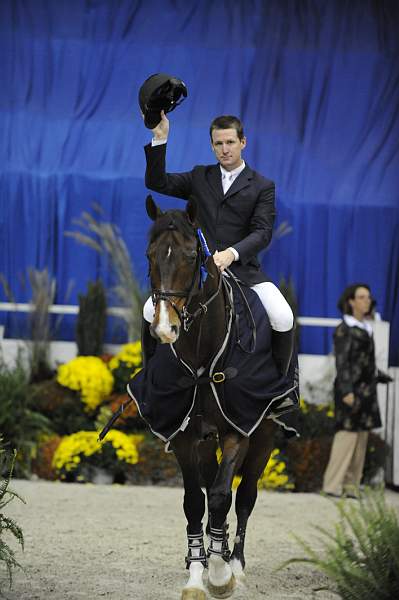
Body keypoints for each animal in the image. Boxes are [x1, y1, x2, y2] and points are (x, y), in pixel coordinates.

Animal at [139, 196, 280, 596]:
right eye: (149, 255)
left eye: (191, 256)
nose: (165, 329)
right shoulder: (185, 435)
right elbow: (193, 501)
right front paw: (196, 573)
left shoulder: (239, 427)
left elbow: (220, 496)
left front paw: (219, 574)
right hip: (205, 439)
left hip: (265, 435)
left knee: (245, 496)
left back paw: (237, 564)